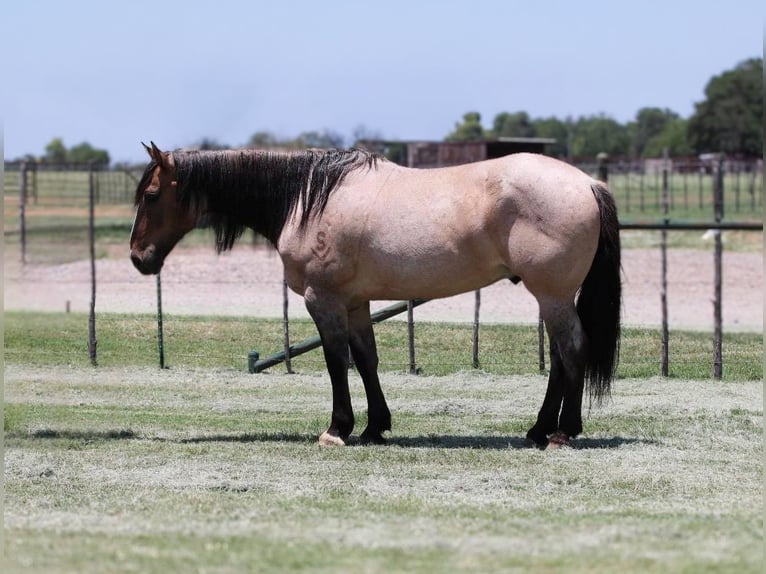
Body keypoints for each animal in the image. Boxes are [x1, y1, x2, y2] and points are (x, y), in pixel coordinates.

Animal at [130, 142, 621, 450]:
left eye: (151, 195)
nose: (138, 257)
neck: (307, 198)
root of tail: (588, 184)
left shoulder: (322, 299)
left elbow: (335, 360)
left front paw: (337, 429)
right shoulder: (355, 301)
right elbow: (366, 358)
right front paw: (374, 427)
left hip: (553, 293)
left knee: (572, 349)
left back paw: (562, 433)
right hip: (550, 296)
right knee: (558, 355)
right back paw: (538, 429)